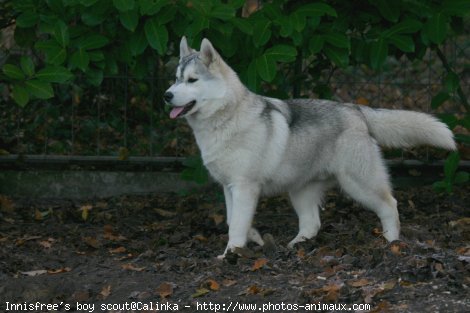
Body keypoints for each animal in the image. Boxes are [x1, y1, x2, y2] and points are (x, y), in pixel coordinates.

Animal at [164, 37, 456, 256]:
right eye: (176, 78)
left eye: (192, 80)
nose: (167, 95)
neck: (226, 117)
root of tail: (355, 109)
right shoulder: (229, 188)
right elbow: (232, 220)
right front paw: (254, 238)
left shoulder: (245, 187)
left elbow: (235, 225)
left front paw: (230, 255)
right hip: (300, 191)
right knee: (311, 224)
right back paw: (295, 246)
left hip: (358, 184)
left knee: (390, 205)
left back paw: (391, 242)